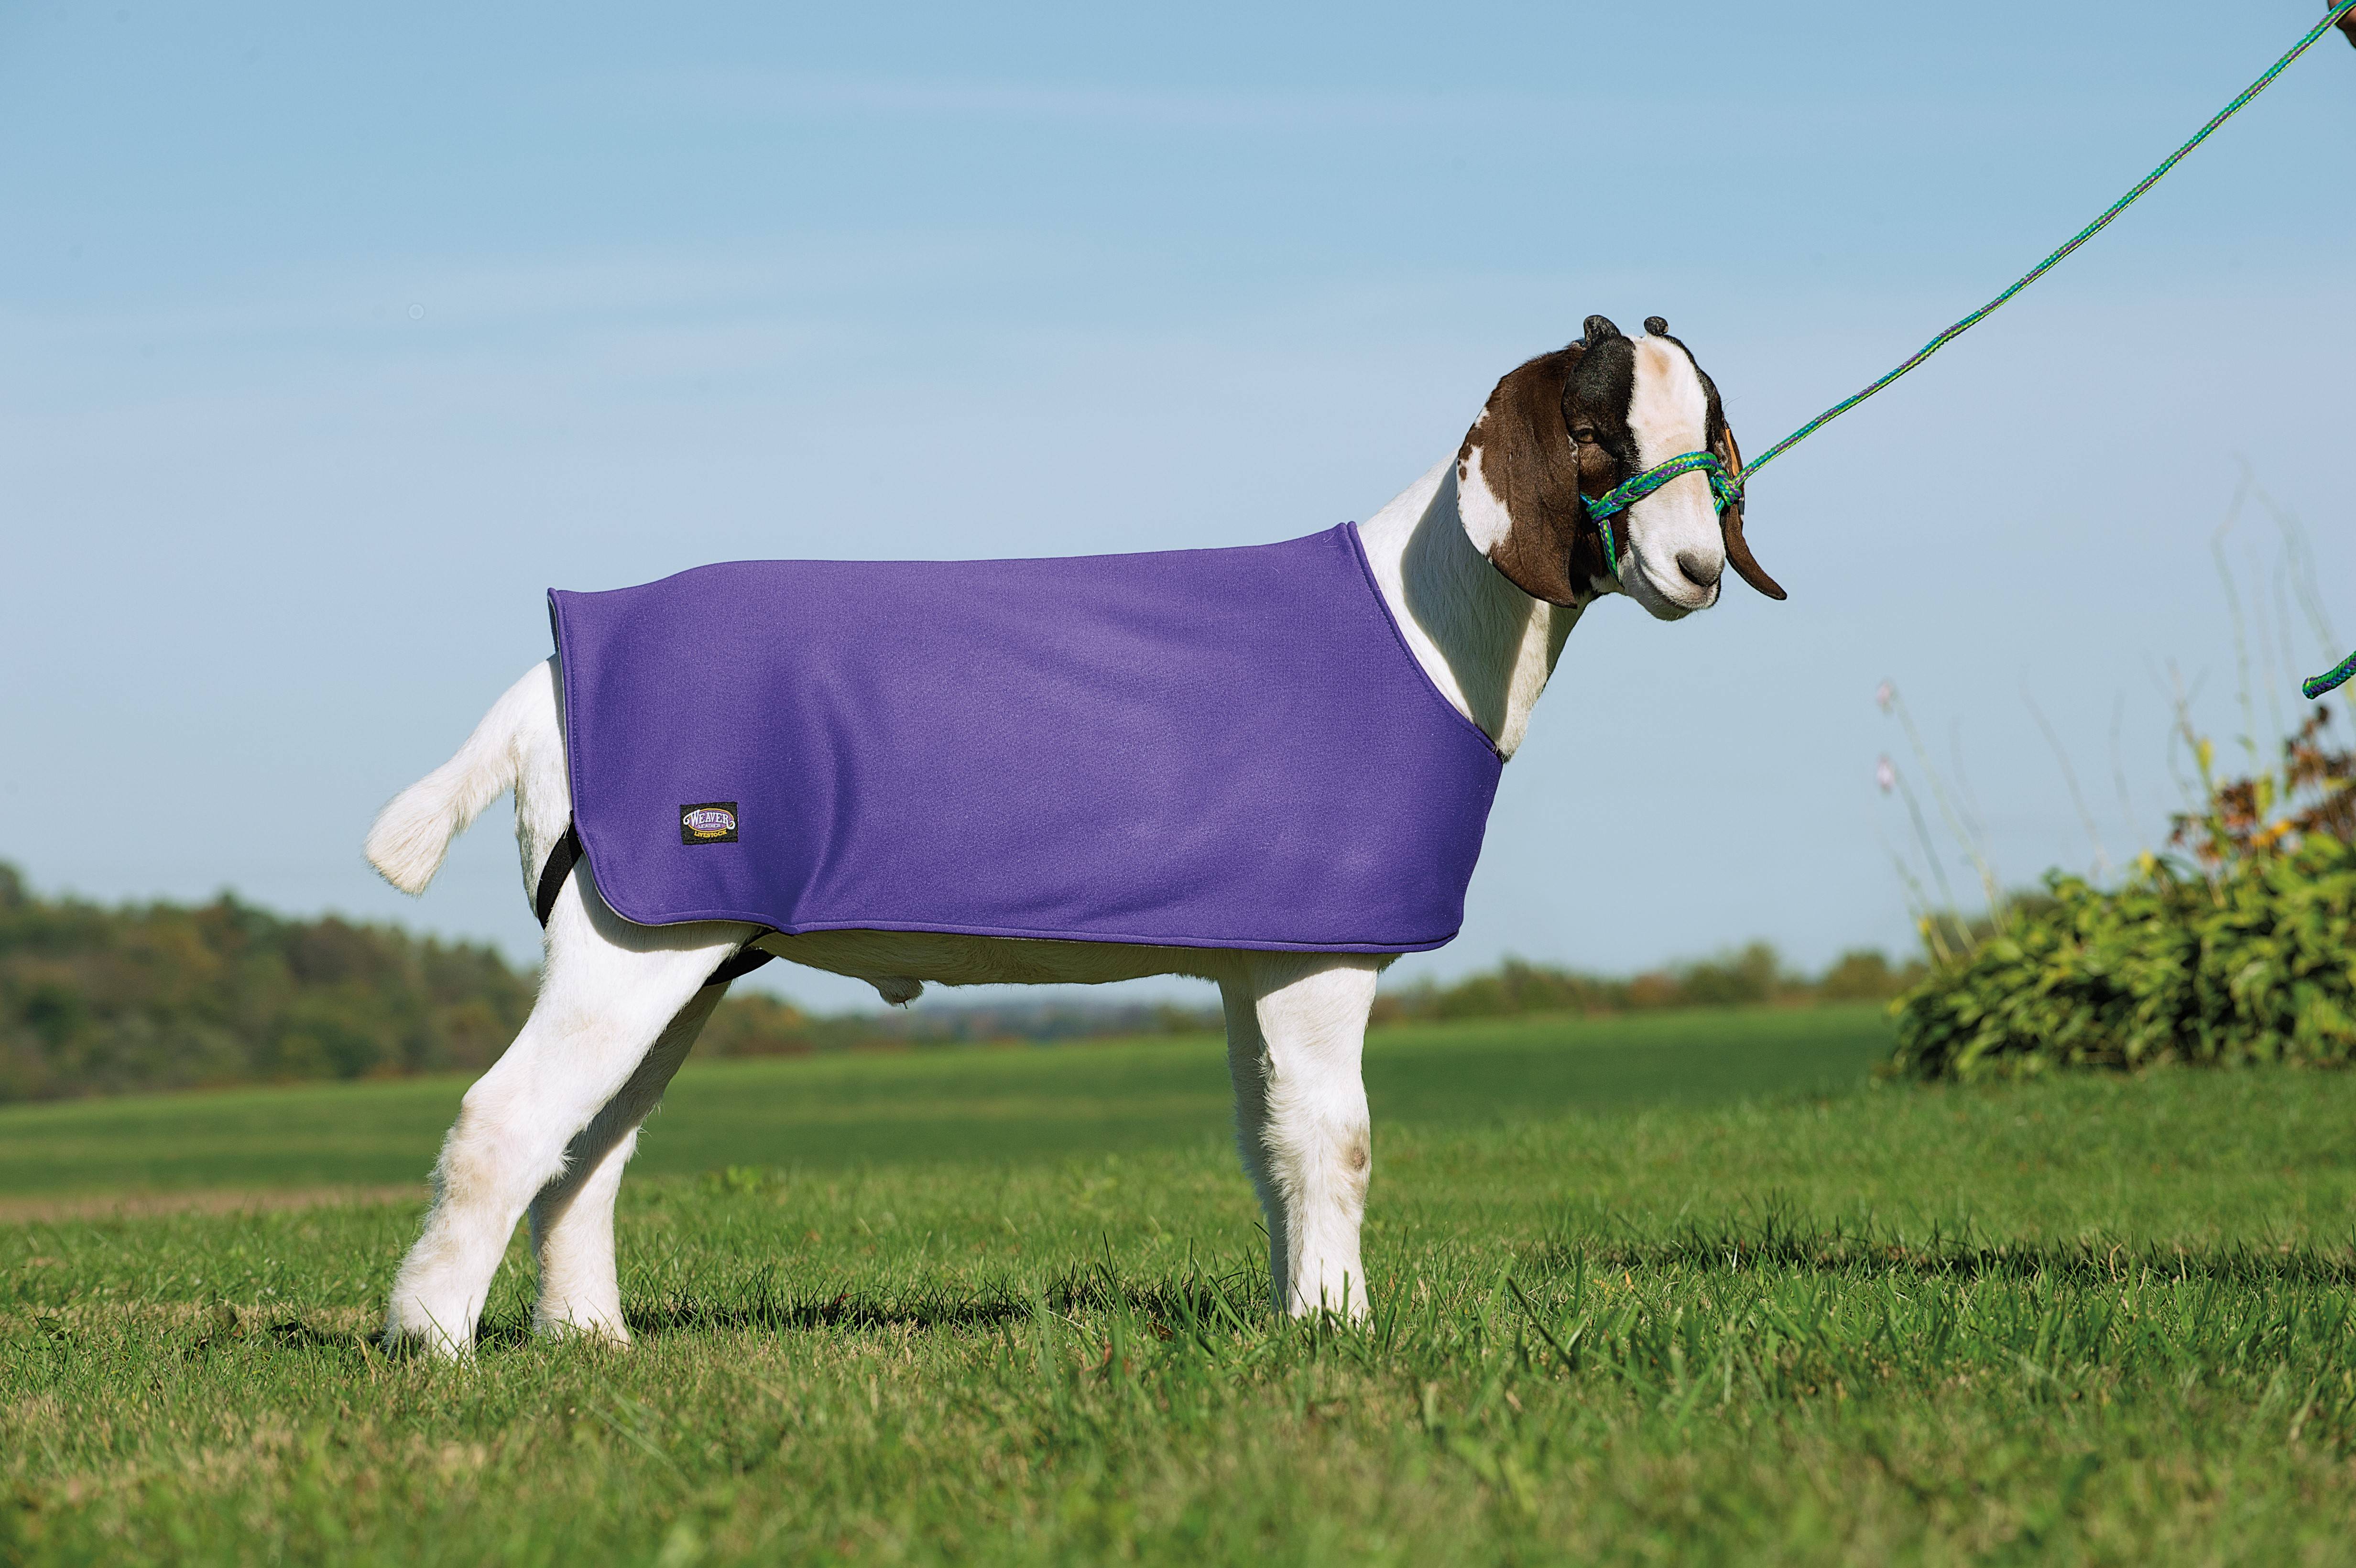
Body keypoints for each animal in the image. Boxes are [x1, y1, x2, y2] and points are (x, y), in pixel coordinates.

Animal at [365, 314, 1780, 1356]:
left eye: (1709, 436)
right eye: (1591, 430)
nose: (1698, 573)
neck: (1421, 620)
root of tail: (551, 673)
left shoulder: (1259, 953)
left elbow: (1271, 1146)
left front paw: (1296, 1316)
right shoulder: (1323, 958)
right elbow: (1336, 1141)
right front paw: (1343, 1327)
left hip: (675, 944)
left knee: (590, 1143)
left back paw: (588, 1341)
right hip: (632, 941)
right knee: (506, 1120)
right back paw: (432, 1345)